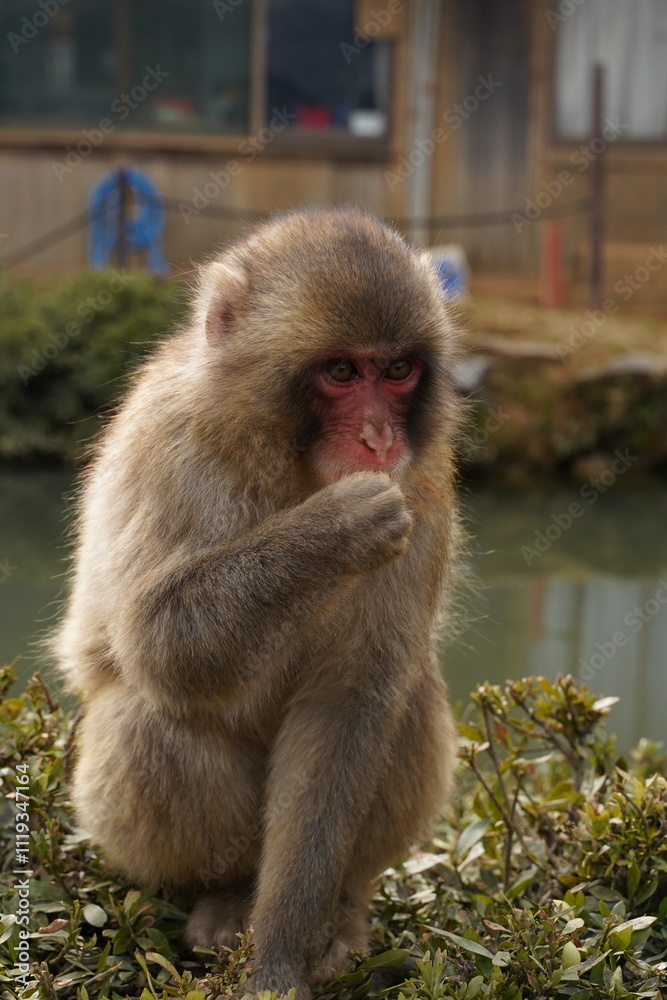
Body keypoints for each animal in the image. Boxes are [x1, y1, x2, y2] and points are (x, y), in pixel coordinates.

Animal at [53, 208, 462, 1000]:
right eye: (342, 372)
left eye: (397, 370)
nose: (379, 438)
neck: (292, 462)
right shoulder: (169, 446)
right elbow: (157, 640)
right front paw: (332, 531)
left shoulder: (424, 489)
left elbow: (348, 702)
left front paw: (280, 955)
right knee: (150, 720)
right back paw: (220, 896)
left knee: (406, 698)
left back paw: (341, 910)